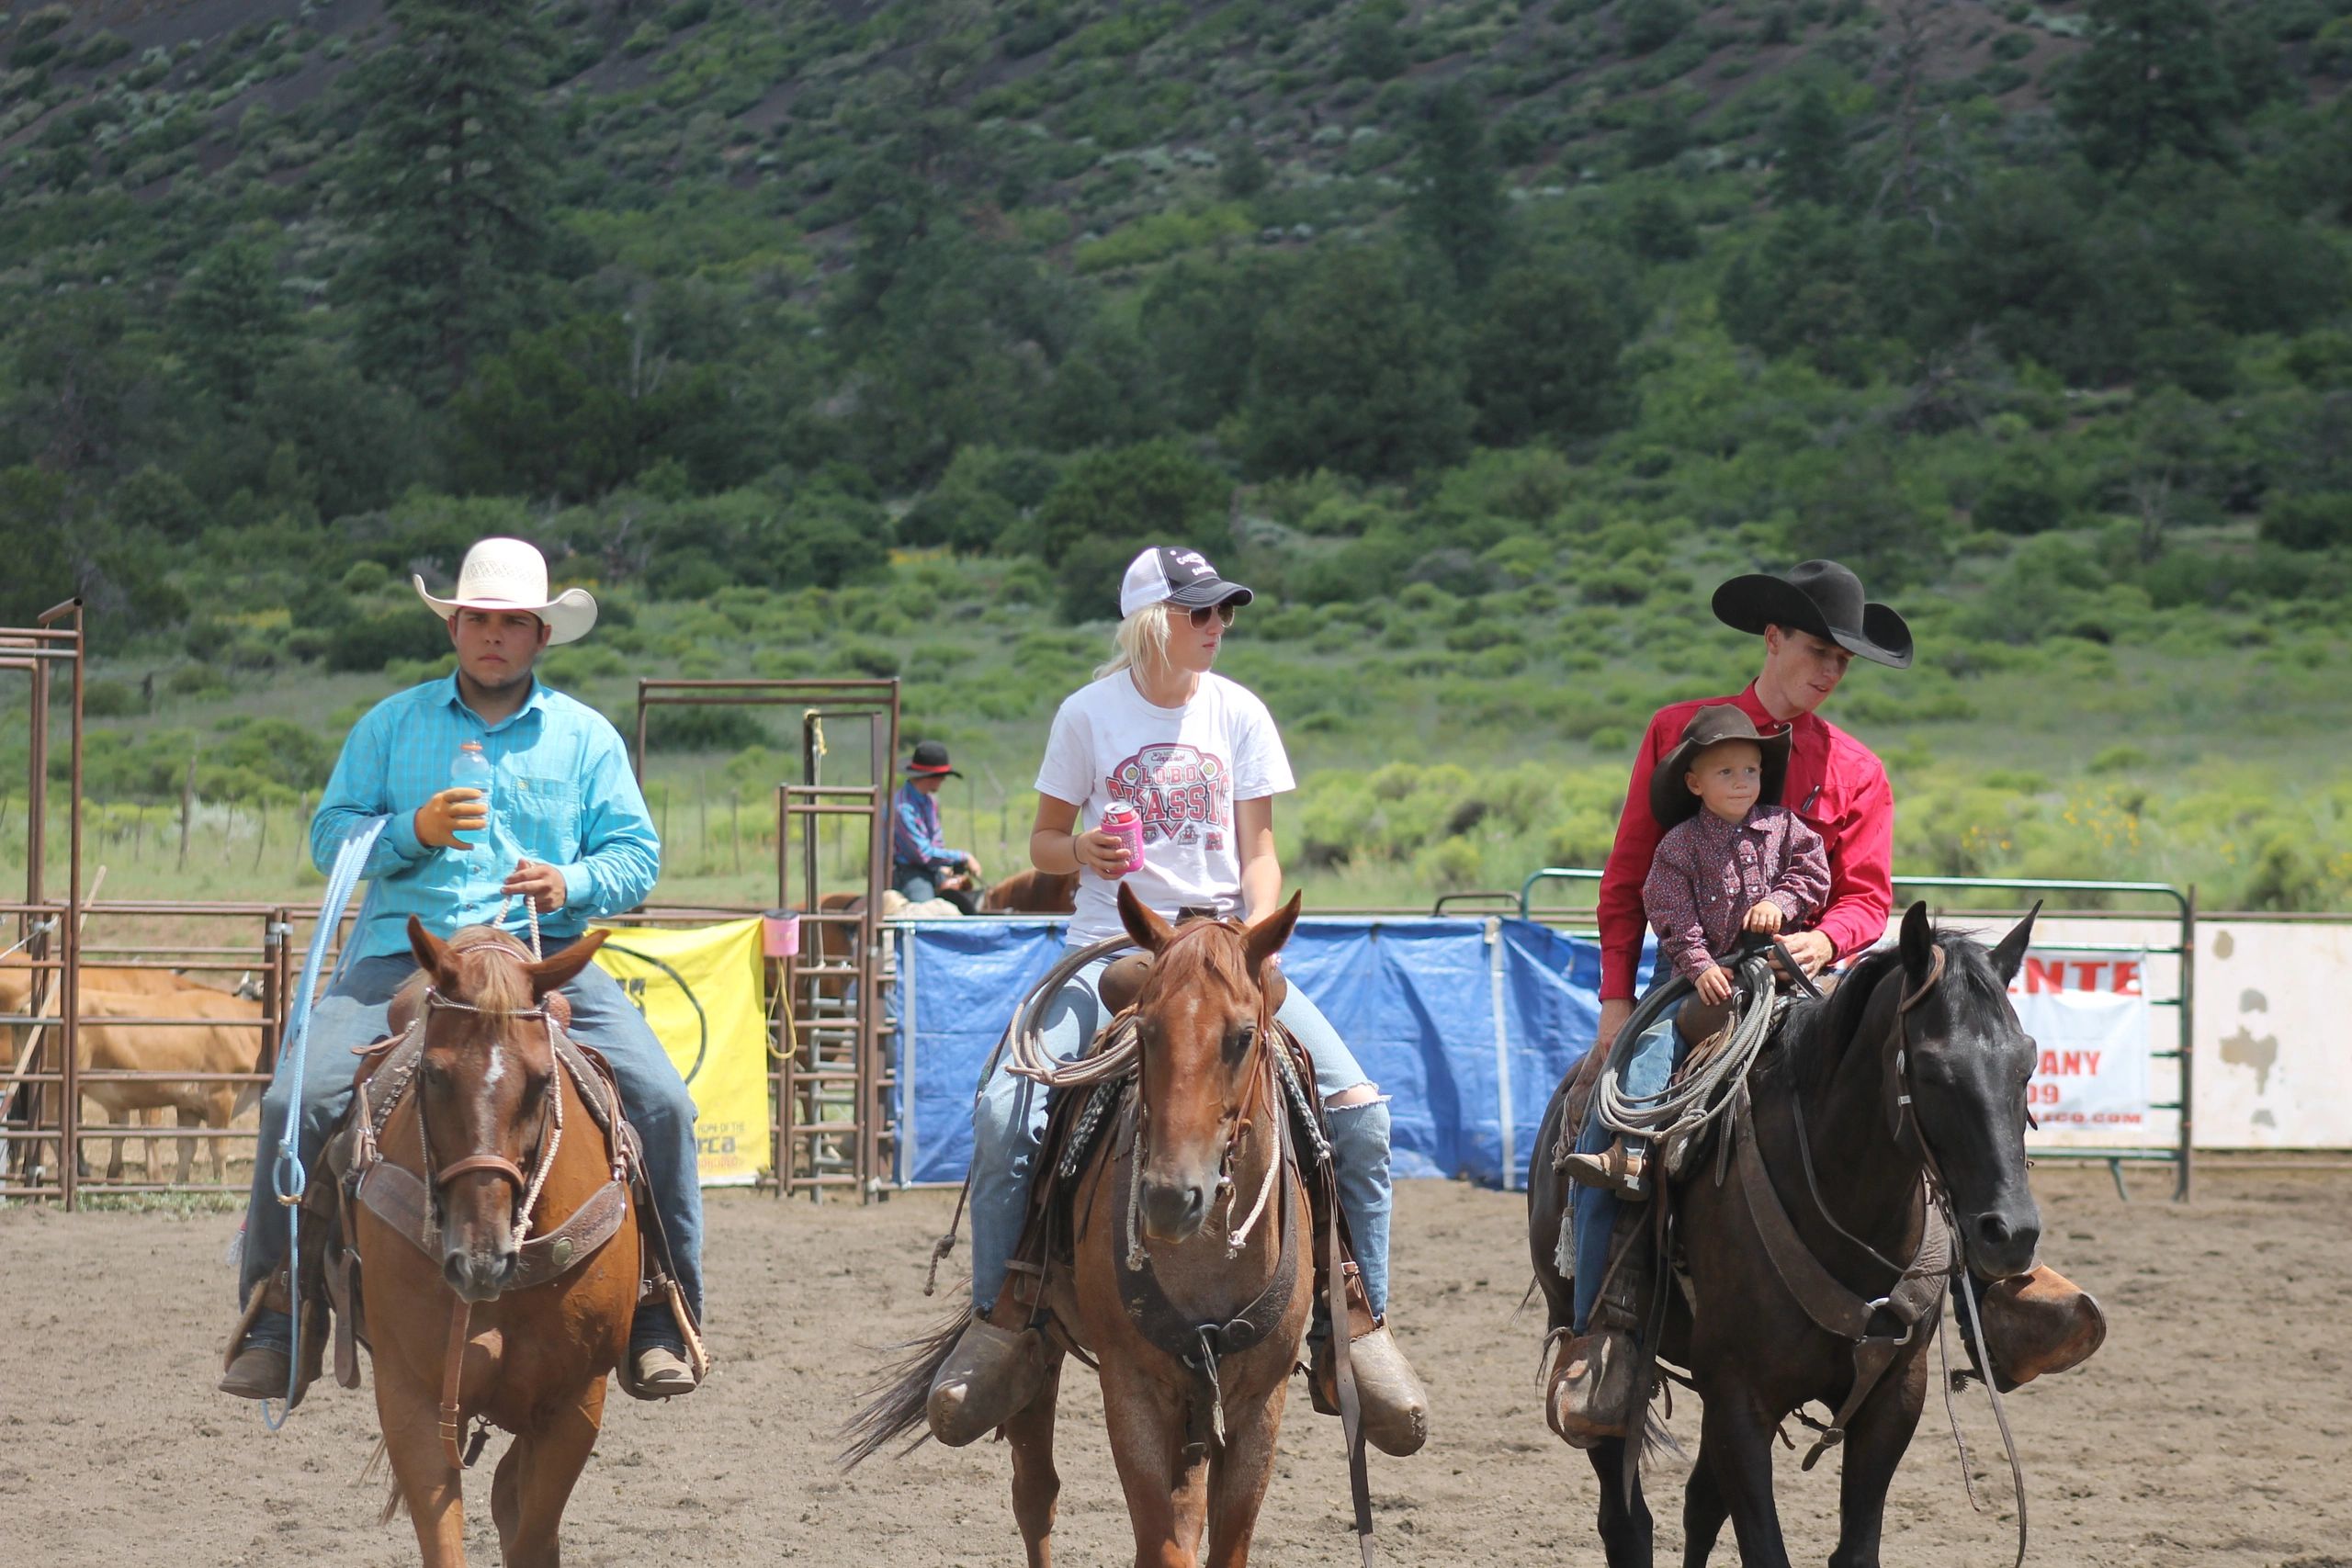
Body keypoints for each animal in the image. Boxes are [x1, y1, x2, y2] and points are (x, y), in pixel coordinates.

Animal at [352, 918, 640, 1568]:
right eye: (431, 1074)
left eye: (541, 1081)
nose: (479, 1261)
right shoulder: (410, 1396)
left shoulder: (575, 1404)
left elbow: (532, 1535)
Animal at [849, 883, 1316, 1568]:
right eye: (1146, 1030)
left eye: (1242, 1034)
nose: (1169, 1197)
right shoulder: (1131, 1389)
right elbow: (1159, 1543)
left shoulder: (1260, 1401)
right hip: (1040, 1345)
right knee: (1035, 1492)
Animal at [1527, 902, 2044, 1568]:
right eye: (1931, 1067)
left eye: (2027, 1062)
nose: (2011, 1232)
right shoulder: (1739, 1399)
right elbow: (1763, 1547)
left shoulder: (1895, 1397)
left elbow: (1853, 1548)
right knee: (1626, 1518)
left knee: (1699, 1505)